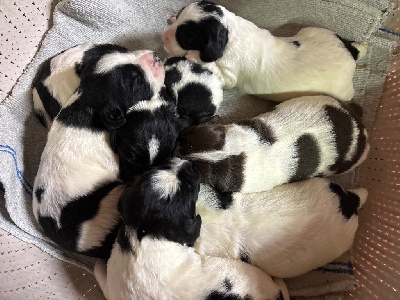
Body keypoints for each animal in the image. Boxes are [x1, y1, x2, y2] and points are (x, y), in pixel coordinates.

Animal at [162, 0, 366, 102]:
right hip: (315, 31)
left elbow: (215, 69)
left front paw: (193, 55)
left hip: (342, 91)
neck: (231, 31)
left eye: (185, 37)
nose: (163, 38)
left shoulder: (229, 75)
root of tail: (350, 53)